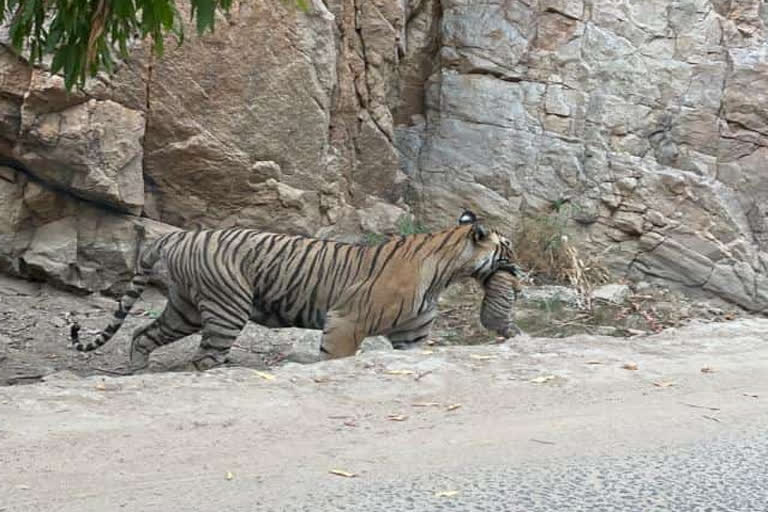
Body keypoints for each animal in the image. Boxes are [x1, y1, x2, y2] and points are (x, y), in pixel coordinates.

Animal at [70, 210, 516, 370]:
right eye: (508, 248)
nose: (521, 269)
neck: (445, 271)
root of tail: (175, 237)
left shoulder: (411, 335)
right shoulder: (346, 321)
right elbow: (334, 359)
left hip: (186, 310)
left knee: (142, 334)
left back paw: (137, 372)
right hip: (226, 309)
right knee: (202, 359)